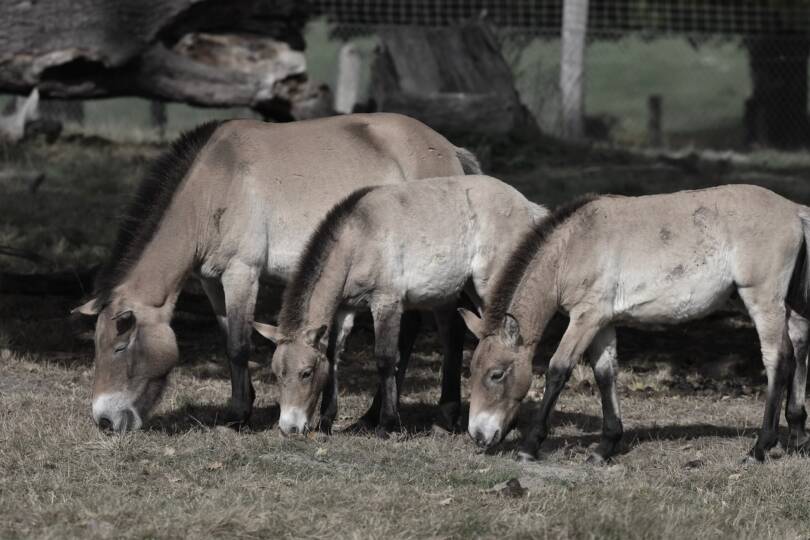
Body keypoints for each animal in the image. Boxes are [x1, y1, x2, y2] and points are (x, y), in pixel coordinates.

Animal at [72, 115, 476, 434]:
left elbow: (238, 345)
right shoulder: (211, 280)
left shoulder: (242, 273)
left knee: (450, 333)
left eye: (120, 346)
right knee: (408, 333)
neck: (215, 184)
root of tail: (449, 150)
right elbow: (227, 337)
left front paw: (237, 417)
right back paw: (372, 416)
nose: (104, 420)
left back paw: (444, 416)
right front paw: (246, 404)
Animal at [251, 175, 544, 436]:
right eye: (277, 374)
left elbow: (385, 359)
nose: (289, 428)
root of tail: (527, 205)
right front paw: (325, 422)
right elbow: (334, 355)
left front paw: (388, 425)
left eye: (306, 373)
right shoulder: (344, 310)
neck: (359, 238)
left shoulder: (386, 302)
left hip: (489, 284)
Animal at [458, 186, 808, 464]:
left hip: (763, 300)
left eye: (496, 374)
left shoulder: (585, 318)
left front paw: (530, 446)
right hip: (788, 305)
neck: (573, 247)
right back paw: (797, 436)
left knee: (778, 360)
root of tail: (794, 209)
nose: (479, 434)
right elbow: (605, 374)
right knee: (799, 346)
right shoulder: (601, 322)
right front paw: (605, 447)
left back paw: (760, 448)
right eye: (471, 370)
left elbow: (558, 370)